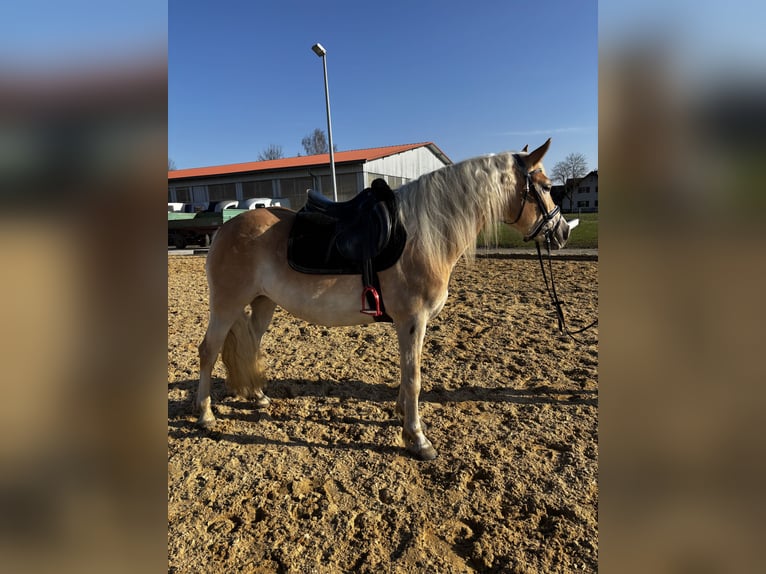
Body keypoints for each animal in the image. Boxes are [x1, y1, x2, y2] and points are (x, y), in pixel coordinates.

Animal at [195, 138, 573, 460]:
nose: (562, 232)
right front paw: (417, 439)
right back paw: (206, 415)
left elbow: (406, 374)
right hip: (226, 305)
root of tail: (225, 229)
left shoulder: (410, 325)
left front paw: (403, 417)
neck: (427, 235)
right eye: (546, 186)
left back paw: (257, 396)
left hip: (263, 302)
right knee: (209, 351)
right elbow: (415, 377)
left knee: (251, 344)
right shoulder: (413, 321)